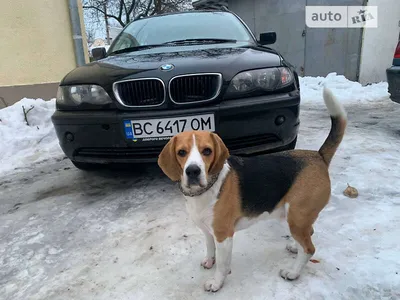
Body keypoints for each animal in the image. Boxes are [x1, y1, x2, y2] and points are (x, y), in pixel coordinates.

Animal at [158, 87, 346, 292]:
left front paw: (216, 283)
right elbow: (209, 247)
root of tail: (318, 156)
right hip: (298, 217)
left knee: (309, 249)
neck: (207, 189)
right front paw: (209, 261)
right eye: (181, 152)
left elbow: (222, 265)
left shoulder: (223, 235)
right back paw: (294, 246)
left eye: (207, 151)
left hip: (297, 215)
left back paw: (293, 272)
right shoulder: (208, 230)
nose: (193, 171)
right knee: (308, 234)